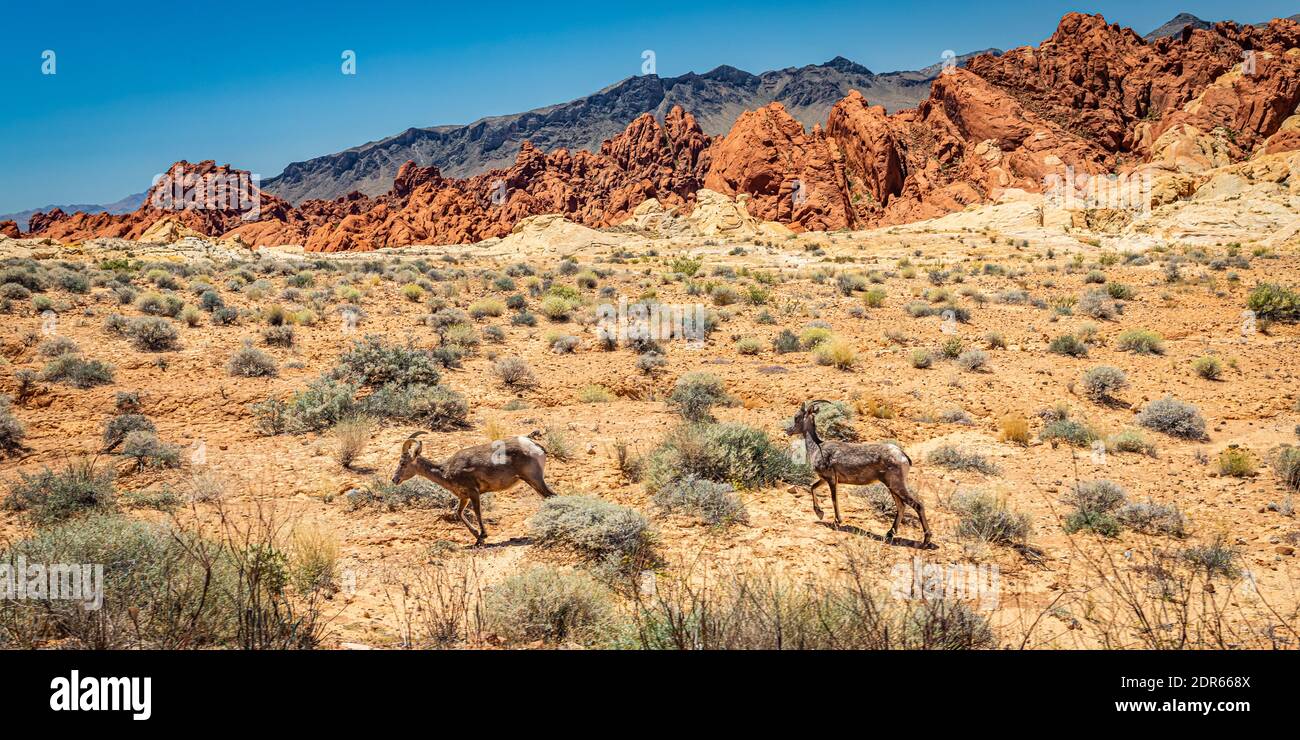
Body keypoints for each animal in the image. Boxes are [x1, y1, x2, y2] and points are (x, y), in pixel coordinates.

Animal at [392, 426, 561, 543]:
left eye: (403, 463)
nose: (394, 479)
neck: (446, 470)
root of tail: (537, 447)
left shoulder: (473, 493)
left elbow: (477, 512)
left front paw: (482, 537)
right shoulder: (464, 497)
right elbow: (458, 513)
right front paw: (476, 536)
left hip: (534, 479)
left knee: (552, 496)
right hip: (533, 482)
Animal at [785, 400, 930, 546]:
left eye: (797, 417)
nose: (788, 430)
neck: (817, 448)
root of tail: (903, 456)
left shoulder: (831, 479)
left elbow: (833, 499)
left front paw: (837, 521)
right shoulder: (825, 479)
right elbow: (812, 487)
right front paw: (820, 513)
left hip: (895, 485)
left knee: (917, 505)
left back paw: (926, 540)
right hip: (892, 486)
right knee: (901, 507)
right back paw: (889, 534)